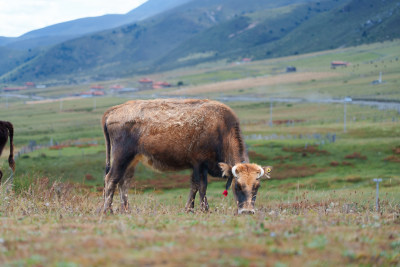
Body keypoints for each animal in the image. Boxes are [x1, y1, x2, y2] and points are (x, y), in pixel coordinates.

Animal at [101, 99, 274, 215]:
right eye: (237, 186)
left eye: (257, 186)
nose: (247, 211)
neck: (221, 129)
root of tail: (113, 111)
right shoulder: (199, 163)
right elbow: (201, 186)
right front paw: (204, 209)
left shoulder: (196, 166)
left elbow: (194, 186)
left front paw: (189, 208)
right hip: (121, 156)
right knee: (112, 179)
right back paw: (107, 210)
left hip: (132, 160)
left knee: (124, 182)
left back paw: (126, 210)